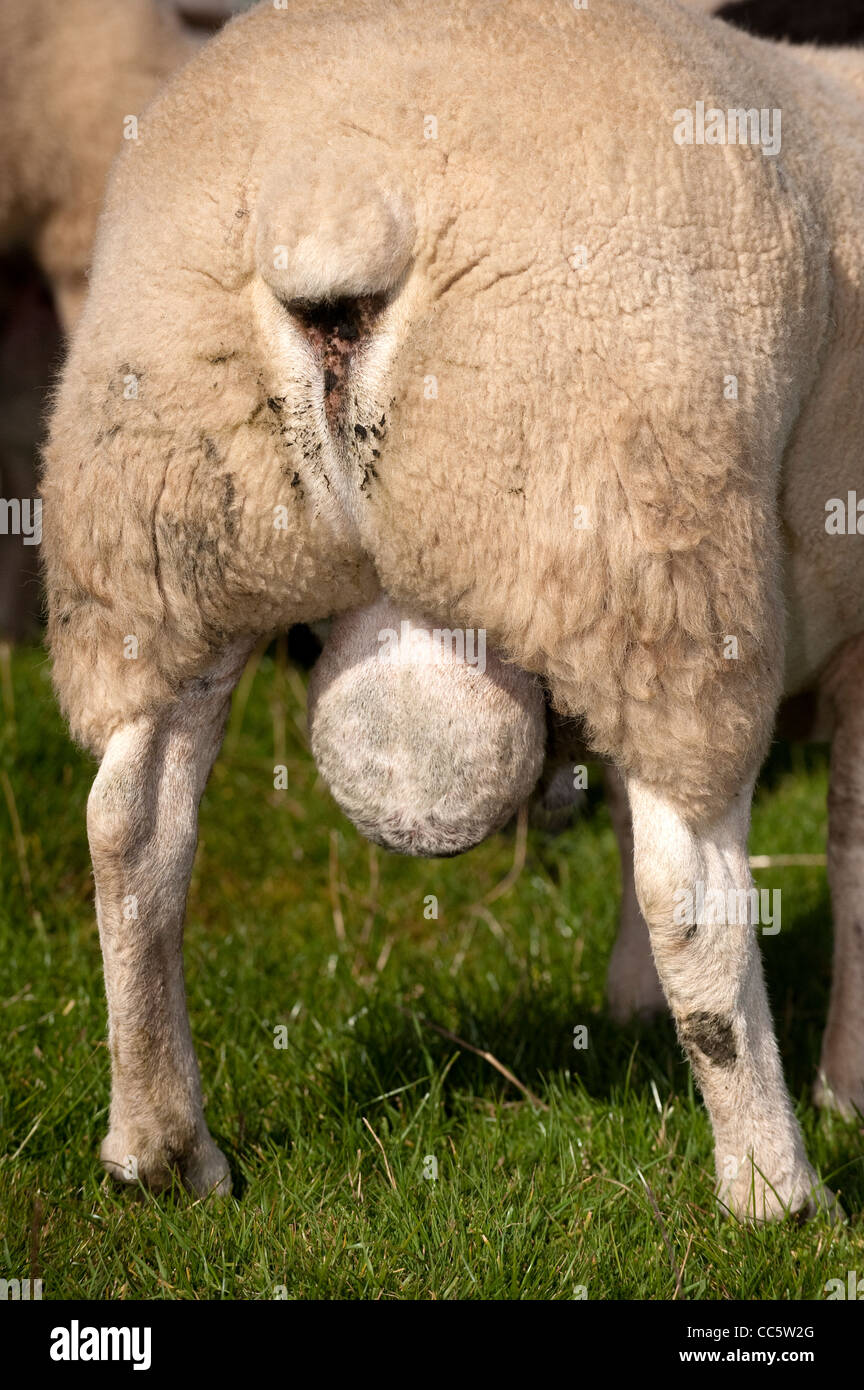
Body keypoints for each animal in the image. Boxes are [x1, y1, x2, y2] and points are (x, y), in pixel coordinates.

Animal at [42, 0, 864, 1217]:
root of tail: (330, 199)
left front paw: (628, 1006)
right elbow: (850, 863)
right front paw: (846, 1090)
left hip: (164, 538)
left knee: (130, 828)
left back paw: (164, 1148)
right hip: (648, 534)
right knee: (693, 887)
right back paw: (774, 1191)